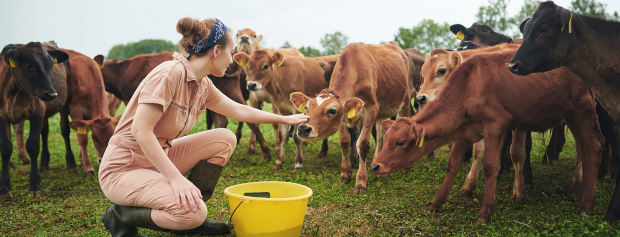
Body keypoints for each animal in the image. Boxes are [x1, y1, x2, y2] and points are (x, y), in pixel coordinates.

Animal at [0, 42, 70, 198]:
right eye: (29, 65)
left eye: (51, 65)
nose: (52, 94)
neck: (11, 94)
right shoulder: (2, 117)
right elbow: (6, 148)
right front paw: (5, 187)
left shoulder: (37, 112)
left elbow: (33, 145)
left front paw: (34, 184)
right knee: (43, 132)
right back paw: (42, 162)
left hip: (64, 105)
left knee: (65, 131)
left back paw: (71, 164)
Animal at [290, 42, 412, 193]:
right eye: (307, 108)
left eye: (331, 110)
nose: (303, 128)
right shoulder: (343, 118)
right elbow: (345, 142)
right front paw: (345, 174)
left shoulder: (371, 109)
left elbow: (363, 144)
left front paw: (360, 182)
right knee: (380, 134)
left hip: (405, 101)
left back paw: (406, 167)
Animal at [370, 49, 604, 223]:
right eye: (386, 140)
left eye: (400, 142)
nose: (375, 166)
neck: (469, 86)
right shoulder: (463, 132)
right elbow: (452, 164)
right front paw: (436, 203)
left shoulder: (496, 125)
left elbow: (491, 166)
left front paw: (485, 212)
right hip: (571, 115)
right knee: (584, 148)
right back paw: (581, 195)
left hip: (583, 110)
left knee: (592, 147)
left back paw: (586, 204)